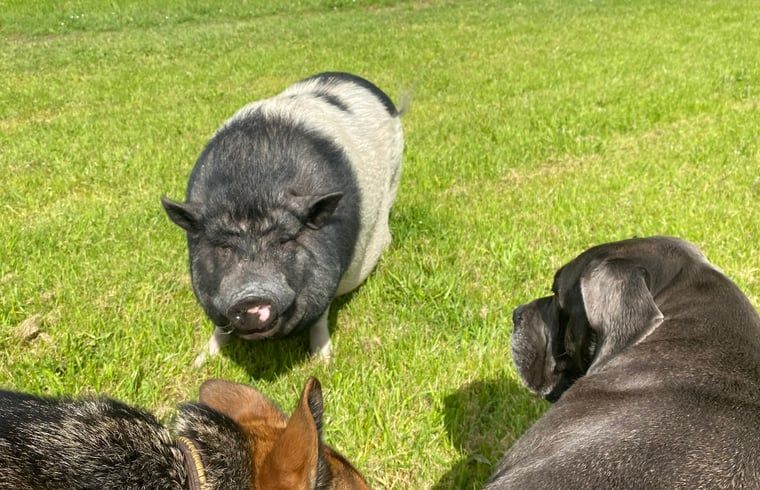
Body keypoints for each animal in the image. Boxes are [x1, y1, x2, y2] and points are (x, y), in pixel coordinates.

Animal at [162, 72, 404, 367]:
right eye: (223, 247)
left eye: (285, 241)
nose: (250, 300)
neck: (253, 186)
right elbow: (220, 326)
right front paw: (198, 362)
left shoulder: (331, 272)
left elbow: (321, 316)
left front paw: (324, 362)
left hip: (395, 173)